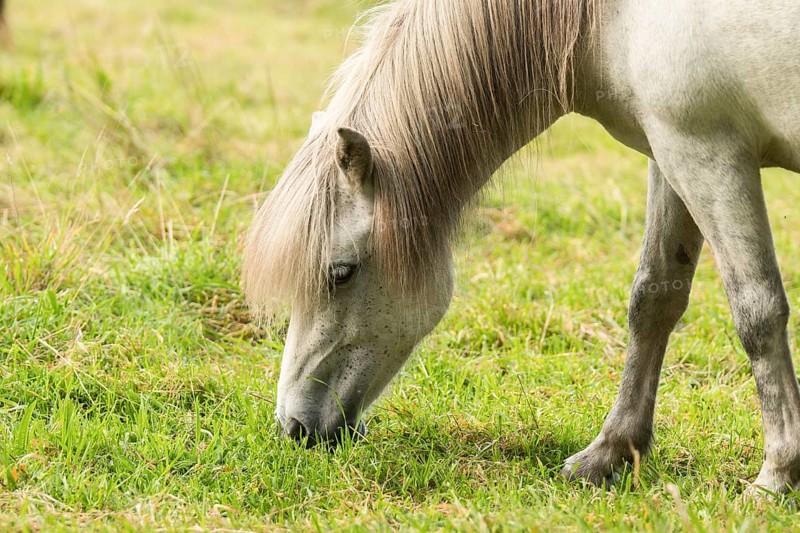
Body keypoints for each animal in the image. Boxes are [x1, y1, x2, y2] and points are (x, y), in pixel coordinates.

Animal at [243, 0, 800, 496]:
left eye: (341, 272)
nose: (294, 427)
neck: (608, 15)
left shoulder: (707, 152)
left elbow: (756, 313)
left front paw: (777, 475)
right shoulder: (670, 151)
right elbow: (654, 301)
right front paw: (609, 454)